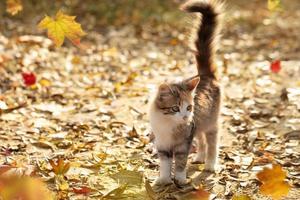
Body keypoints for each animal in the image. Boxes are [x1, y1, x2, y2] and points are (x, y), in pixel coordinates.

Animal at [149, 0, 221, 186]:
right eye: (175, 108)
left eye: (189, 108)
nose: (185, 116)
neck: (169, 124)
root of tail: (205, 75)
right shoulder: (163, 144)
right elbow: (165, 164)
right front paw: (163, 180)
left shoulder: (183, 144)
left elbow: (180, 163)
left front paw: (180, 180)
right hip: (199, 125)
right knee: (202, 141)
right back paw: (200, 157)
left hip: (211, 123)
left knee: (212, 144)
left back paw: (210, 164)